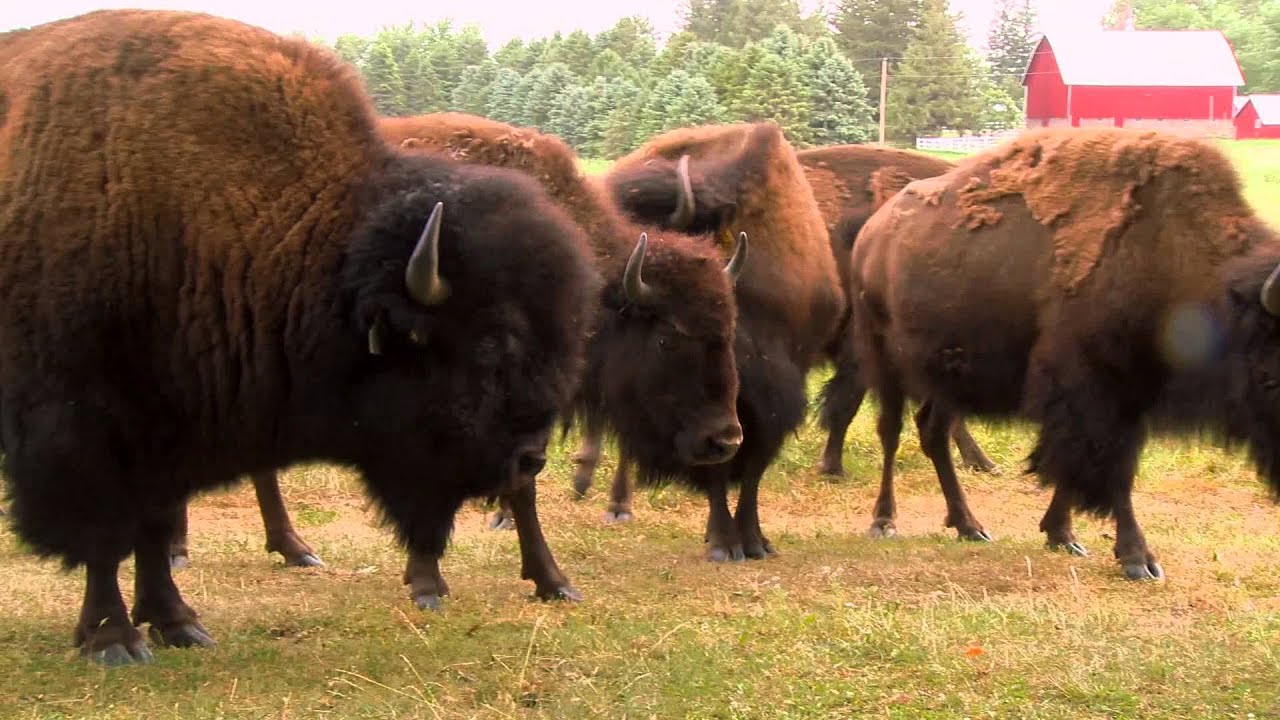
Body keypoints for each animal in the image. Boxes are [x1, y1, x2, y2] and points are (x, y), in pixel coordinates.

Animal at [0, 9, 600, 664]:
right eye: (493, 342)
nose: (531, 459)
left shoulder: (170, 438)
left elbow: (154, 530)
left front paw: (177, 623)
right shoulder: (89, 433)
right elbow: (106, 537)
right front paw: (113, 639)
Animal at [851, 126, 1280, 580]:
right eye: (1270, 374)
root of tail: (871, 234)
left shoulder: (1124, 398)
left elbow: (1082, 468)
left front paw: (1063, 535)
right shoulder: (1093, 391)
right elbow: (1107, 471)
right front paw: (1138, 559)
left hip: (949, 373)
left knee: (932, 431)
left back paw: (970, 526)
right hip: (883, 357)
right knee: (891, 431)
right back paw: (884, 522)